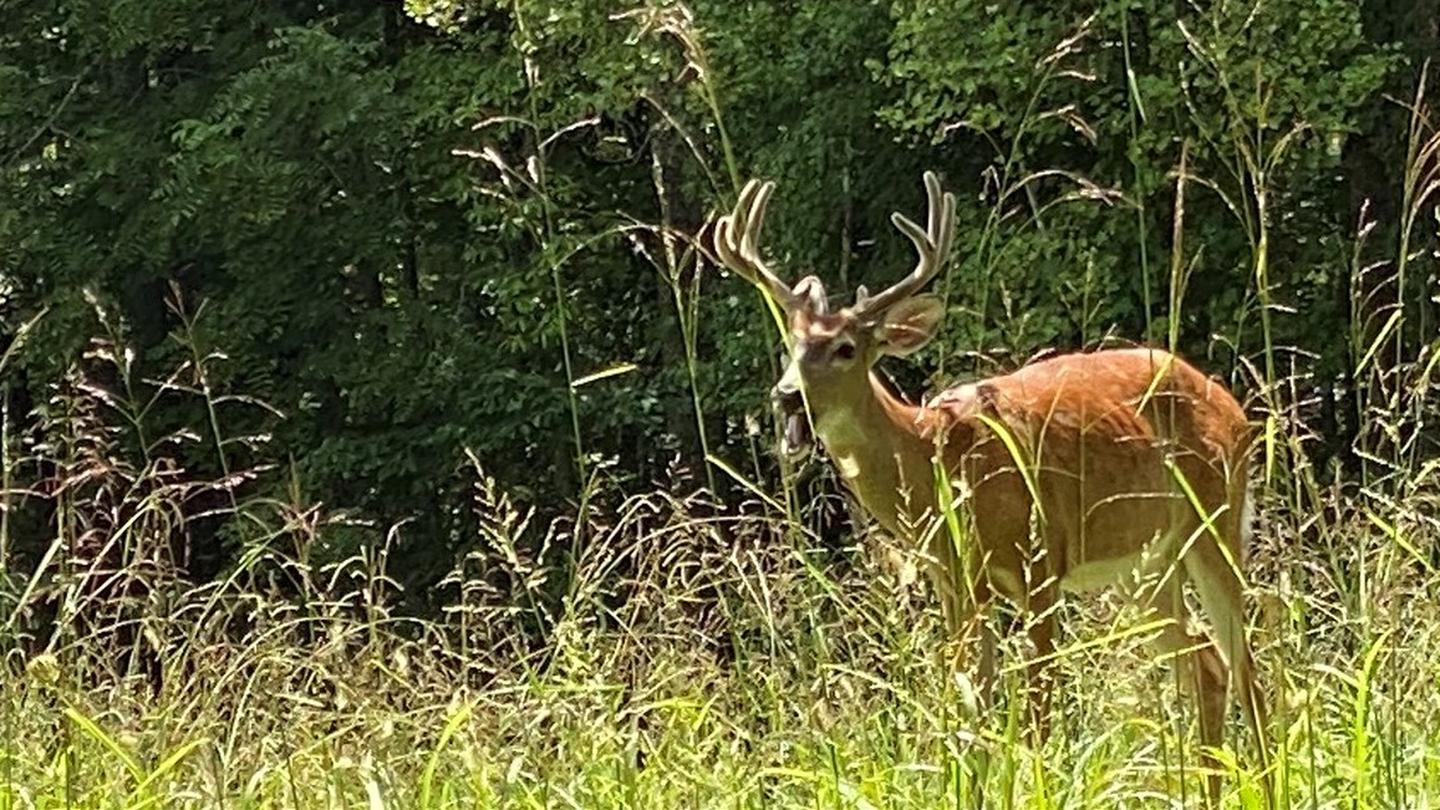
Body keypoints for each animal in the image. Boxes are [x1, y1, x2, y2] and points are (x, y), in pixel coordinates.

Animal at [714, 168, 1267, 795]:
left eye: (845, 348)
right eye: (792, 344)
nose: (786, 397)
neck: (936, 458)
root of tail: (1232, 406)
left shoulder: (1042, 562)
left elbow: (1036, 710)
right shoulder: (954, 582)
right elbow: (967, 706)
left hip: (1216, 519)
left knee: (1246, 663)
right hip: (1146, 564)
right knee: (1207, 662)